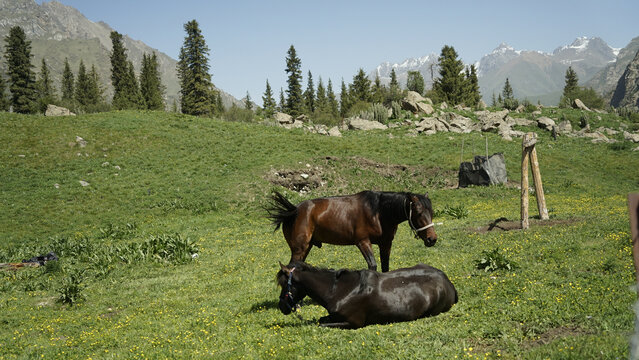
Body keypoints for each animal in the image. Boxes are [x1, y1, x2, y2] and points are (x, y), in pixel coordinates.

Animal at [266, 190, 440, 272]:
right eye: (418, 213)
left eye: (431, 213)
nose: (432, 239)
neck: (378, 212)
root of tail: (294, 211)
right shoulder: (363, 242)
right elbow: (372, 265)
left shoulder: (385, 244)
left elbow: (385, 267)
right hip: (299, 248)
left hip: (306, 248)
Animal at [278, 262, 458, 330]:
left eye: (283, 284)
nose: (282, 307)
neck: (339, 290)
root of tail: (447, 282)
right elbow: (321, 320)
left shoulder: (353, 323)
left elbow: (321, 324)